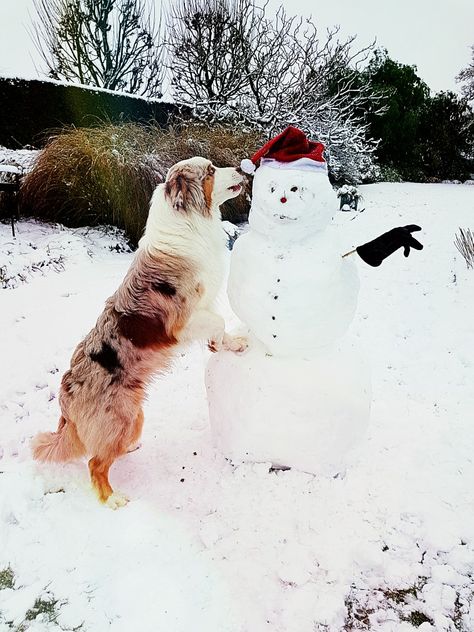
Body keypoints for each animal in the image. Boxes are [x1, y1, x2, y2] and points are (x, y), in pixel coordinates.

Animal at [32, 158, 248, 508]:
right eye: (211, 171)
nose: (243, 169)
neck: (187, 222)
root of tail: (65, 400)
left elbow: (220, 325)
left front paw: (227, 345)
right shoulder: (183, 321)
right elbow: (218, 321)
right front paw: (221, 343)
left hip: (134, 417)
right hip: (120, 419)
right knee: (95, 463)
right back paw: (112, 499)